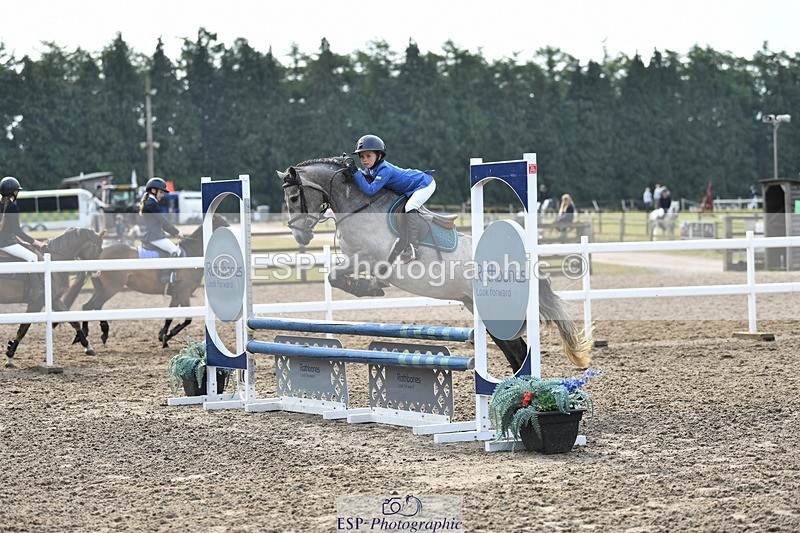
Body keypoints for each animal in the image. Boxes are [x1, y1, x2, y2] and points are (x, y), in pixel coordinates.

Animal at [1, 227, 106, 368]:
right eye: (99, 249)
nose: (97, 273)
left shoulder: (54, 300)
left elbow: (74, 321)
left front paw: (87, 346)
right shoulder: (36, 302)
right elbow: (23, 329)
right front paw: (10, 356)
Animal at [70, 215, 229, 348]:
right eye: (223, 225)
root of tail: (98, 254)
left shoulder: (177, 295)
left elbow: (169, 316)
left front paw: (163, 337)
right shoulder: (183, 292)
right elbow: (187, 319)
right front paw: (168, 336)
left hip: (101, 287)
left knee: (90, 306)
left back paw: (92, 335)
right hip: (112, 287)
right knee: (92, 305)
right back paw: (91, 337)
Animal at [277, 156, 592, 373]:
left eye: (293, 197)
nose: (300, 236)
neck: (357, 206)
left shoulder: (369, 257)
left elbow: (337, 275)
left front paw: (369, 288)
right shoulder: (355, 258)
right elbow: (335, 277)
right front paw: (368, 287)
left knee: (520, 349)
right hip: (479, 308)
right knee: (516, 353)